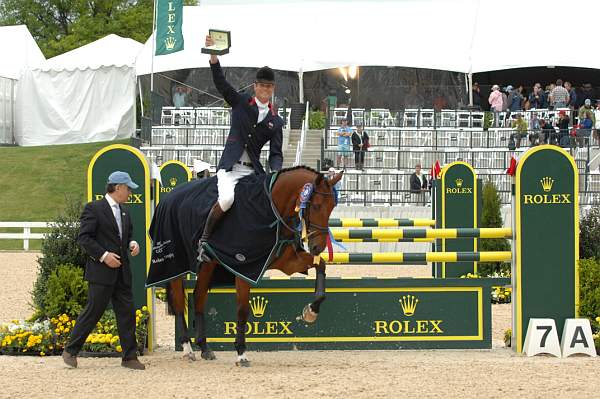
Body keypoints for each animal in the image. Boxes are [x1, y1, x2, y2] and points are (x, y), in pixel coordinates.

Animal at [165, 167, 342, 368]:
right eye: (316, 206)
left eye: (332, 207)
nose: (318, 247)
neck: (271, 210)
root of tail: (170, 195)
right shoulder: (244, 267)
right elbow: (243, 310)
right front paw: (241, 353)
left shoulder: (288, 261)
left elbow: (321, 267)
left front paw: (311, 311)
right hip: (175, 267)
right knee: (179, 301)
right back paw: (187, 348)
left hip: (208, 265)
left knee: (199, 296)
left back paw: (204, 348)